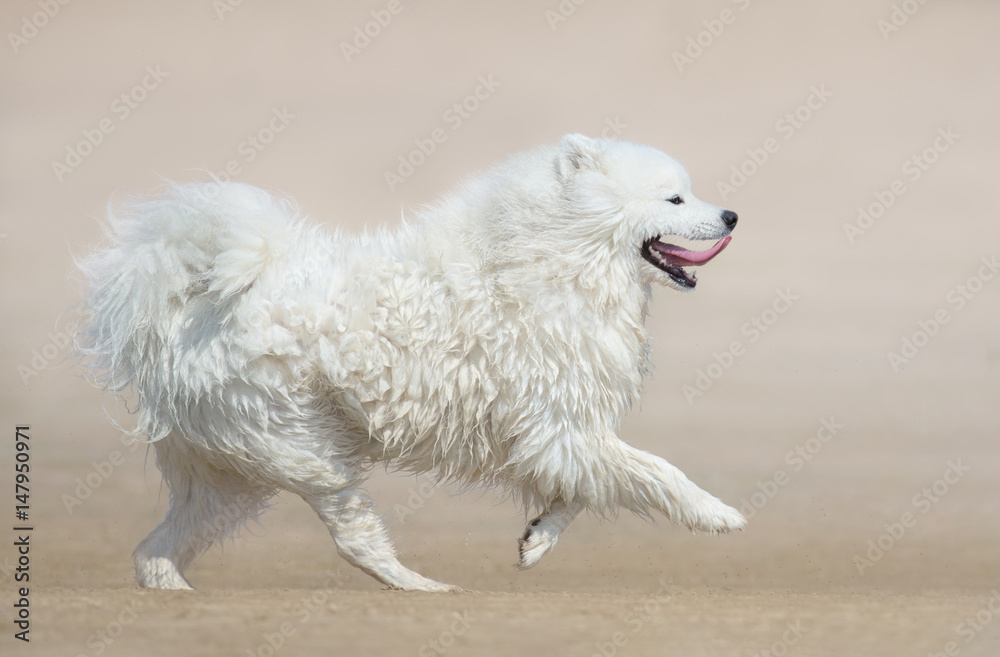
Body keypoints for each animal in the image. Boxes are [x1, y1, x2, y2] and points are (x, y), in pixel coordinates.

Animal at [78, 132, 748, 588]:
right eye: (675, 198)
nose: (733, 215)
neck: (554, 256)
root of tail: (181, 308)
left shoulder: (555, 433)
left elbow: (584, 490)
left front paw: (537, 540)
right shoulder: (558, 425)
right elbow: (658, 471)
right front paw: (717, 514)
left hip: (233, 478)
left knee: (154, 549)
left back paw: (173, 593)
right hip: (307, 451)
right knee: (353, 537)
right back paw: (424, 588)